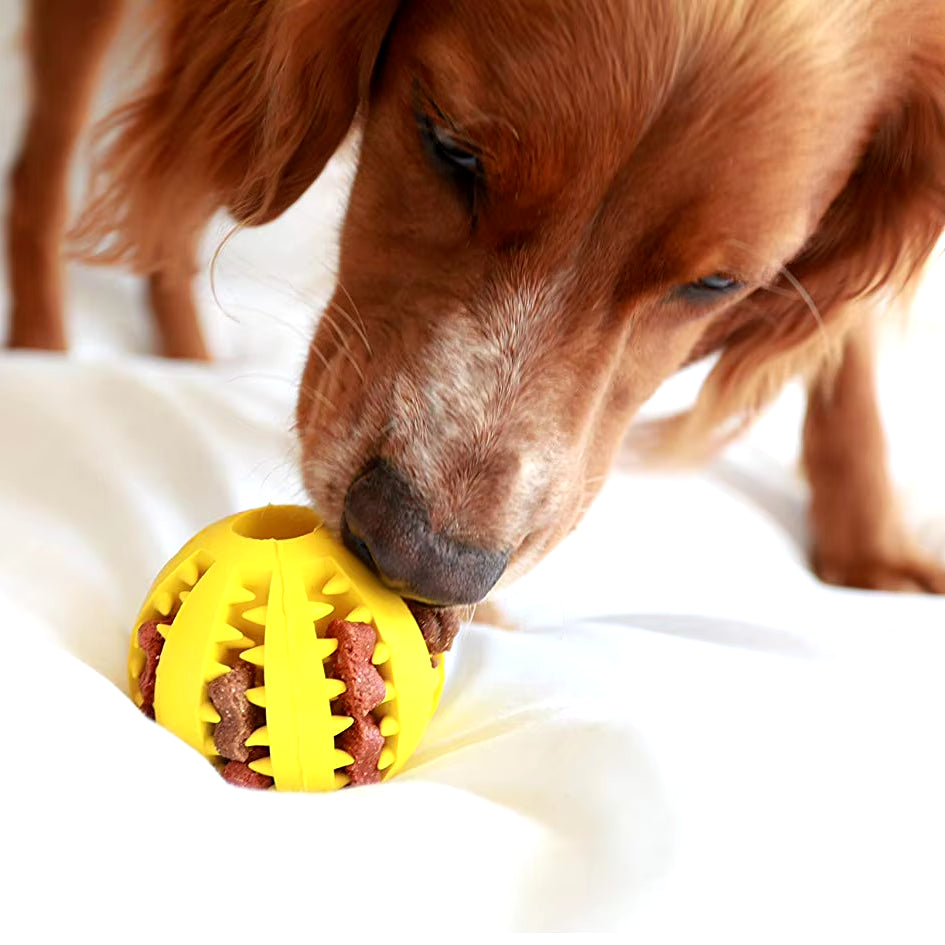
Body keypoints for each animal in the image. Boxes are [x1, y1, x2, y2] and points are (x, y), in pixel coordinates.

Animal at [7, 0, 944, 648]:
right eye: (448, 146)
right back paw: (45, 355)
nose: (420, 560)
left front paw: (870, 547)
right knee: (45, 173)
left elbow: (843, 344)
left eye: (718, 283)